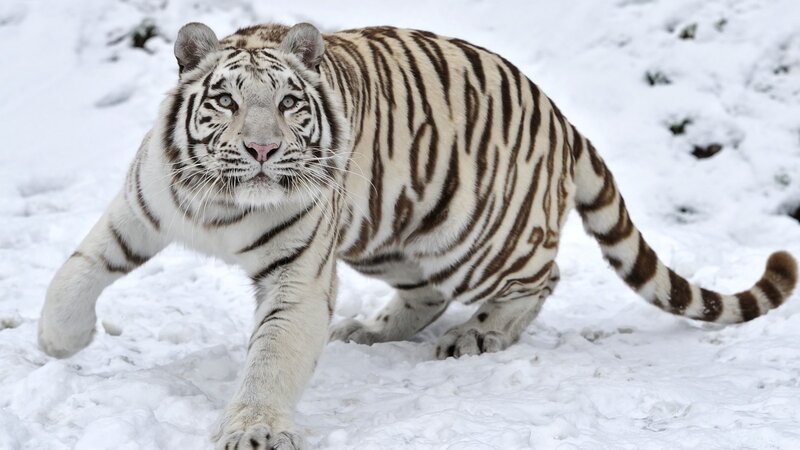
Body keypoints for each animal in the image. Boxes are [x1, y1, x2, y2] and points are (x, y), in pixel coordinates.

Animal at [37, 21, 797, 449]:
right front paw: (58, 342)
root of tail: (560, 116)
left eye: (287, 103)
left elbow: (270, 358)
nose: (260, 150)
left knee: (542, 275)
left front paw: (254, 429)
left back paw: (477, 337)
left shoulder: (298, 276)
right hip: (393, 235)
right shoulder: (141, 208)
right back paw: (373, 330)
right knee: (426, 293)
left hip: (479, 238)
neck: (223, 204)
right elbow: (78, 268)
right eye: (224, 100)